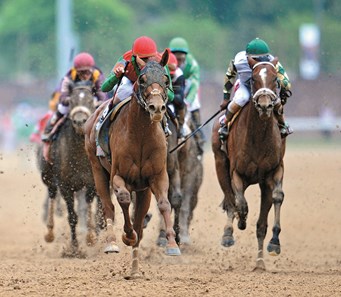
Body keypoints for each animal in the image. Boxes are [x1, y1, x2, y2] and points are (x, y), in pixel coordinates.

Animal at [84, 49, 181, 278]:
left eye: (166, 79)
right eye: (142, 79)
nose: (157, 108)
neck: (141, 136)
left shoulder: (157, 176)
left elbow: (164, 204)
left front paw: (172, 244)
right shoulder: (118, 175)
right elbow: (123, 199)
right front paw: (126, 236)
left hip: (144, 189)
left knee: (139, 220)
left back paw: (135, 270)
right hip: (97, 169)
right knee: (109, 205)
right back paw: (112, 242)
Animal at [212, 56, 284, 270]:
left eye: (275, 79)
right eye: (253, 78)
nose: (265, 106)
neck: (258, 137)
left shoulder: (274, 171)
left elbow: (277, 197)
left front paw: (274, 243)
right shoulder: (237, 172)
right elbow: (240, 204)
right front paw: (240, 222)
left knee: (260, 223)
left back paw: (260, 263)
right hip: (220, 164)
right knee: (230, 198)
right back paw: (228, 233)